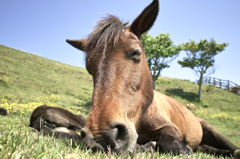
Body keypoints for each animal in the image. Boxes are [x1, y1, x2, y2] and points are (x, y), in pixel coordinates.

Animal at [66, 0, 240, 157]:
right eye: (89, 67)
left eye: (136, 53)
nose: (101, 138)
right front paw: (147, 146)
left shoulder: (169, 127)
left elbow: (167, 142)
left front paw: (181, 149)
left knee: (231, 147)